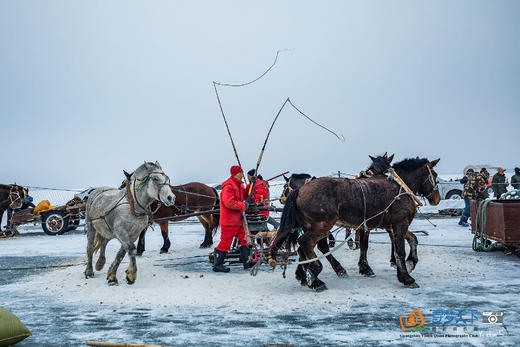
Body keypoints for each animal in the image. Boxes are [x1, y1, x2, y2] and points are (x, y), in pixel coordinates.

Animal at [272, 158, 438, 290]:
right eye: (434, 175)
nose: (436, 198)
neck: (400, 186)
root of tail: (300, 190)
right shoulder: (400, 223)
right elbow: (399, 251)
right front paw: (406, 277)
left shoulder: (390, 225)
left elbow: (413, 239)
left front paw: (410, 263)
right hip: (322, 225)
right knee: (306, 243)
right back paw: (317, 274)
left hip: (310, 226)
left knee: (306, 248)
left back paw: (309, 275)